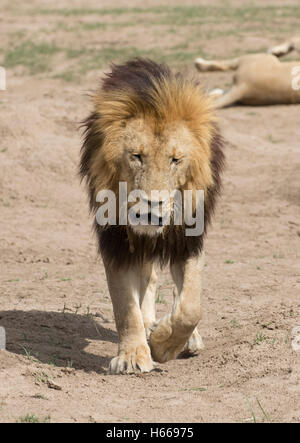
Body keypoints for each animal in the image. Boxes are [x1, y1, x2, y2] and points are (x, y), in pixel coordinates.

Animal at [79, 59, 225, 374]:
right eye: (136, 156)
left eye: (175, 160)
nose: (149, 210)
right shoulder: (117, 243)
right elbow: (125, 307)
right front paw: (133, 356)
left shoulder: (187, 240)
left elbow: (191, 307)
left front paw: (163, 344)